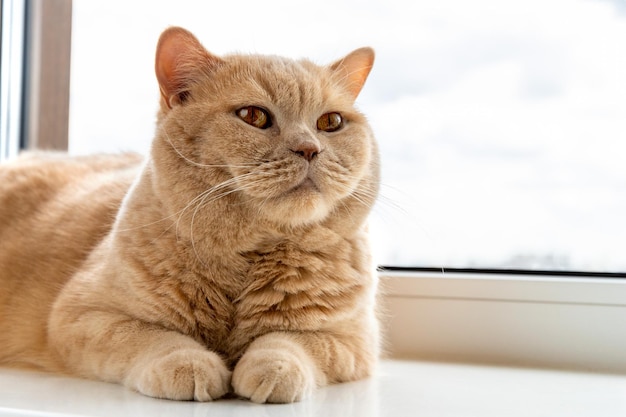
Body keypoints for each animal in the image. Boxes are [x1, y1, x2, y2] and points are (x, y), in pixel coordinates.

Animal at [0, 26, 380, 404]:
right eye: (253, 116)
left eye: (331, 122)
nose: (309, 149)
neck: (249, 257)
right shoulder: (83, 316)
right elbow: (154, 338)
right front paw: (189, 363)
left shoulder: (351, 340)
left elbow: (288, 341)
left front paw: (273, 367)